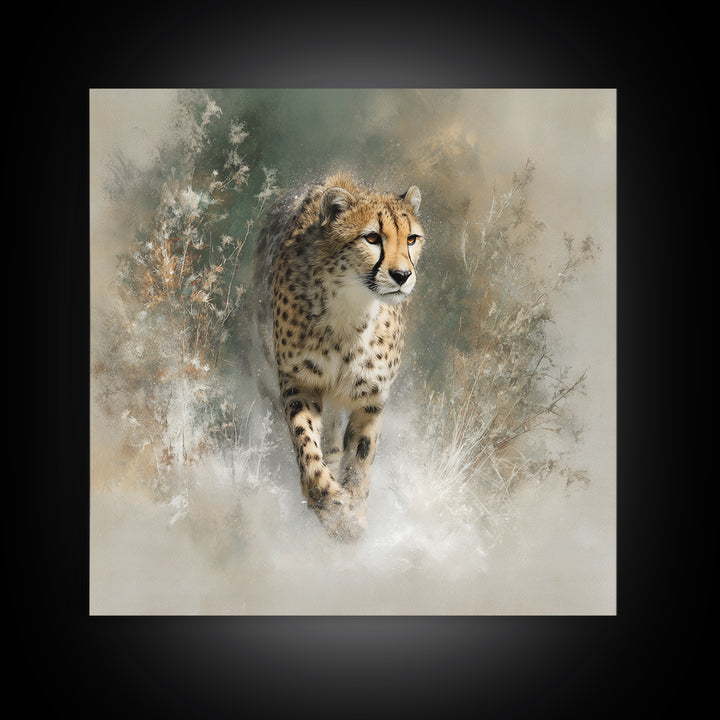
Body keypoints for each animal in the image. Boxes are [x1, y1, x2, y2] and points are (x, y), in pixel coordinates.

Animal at [253, 173, 425, 541]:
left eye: (411, 238)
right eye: (372, 238)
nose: (402, 276)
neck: (352, 307)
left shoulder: (372, 396)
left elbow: (361, 457)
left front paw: (354, 513)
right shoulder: (299, 381)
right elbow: (307, 444)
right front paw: (330, 504)